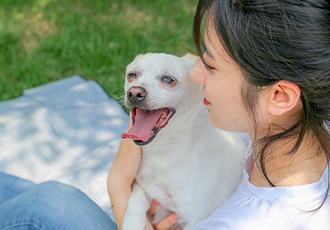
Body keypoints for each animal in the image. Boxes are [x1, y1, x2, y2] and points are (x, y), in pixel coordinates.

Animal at [120, 53, 246, 229]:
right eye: (131, 75)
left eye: (168, 79)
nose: (134, 93)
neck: (164, 150)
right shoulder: (141, 185)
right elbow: (136, 198)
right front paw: (132, 223)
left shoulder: (195, 220)